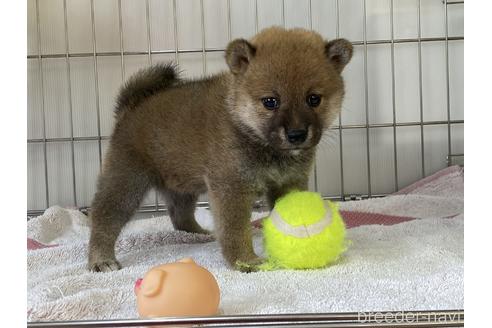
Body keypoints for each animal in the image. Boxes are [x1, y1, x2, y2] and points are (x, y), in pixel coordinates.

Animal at [86, 26, 352, 272]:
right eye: (270, 102)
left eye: (314, 99)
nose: (296, 135)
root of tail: (131, 107)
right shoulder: (231, 187)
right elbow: (234, 229)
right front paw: (245, 260)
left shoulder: (289, 182)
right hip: (126, 181)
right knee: (103, 218)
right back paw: (101, 259)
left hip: (182, 187)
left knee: (180, 216)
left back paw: (199, 234)